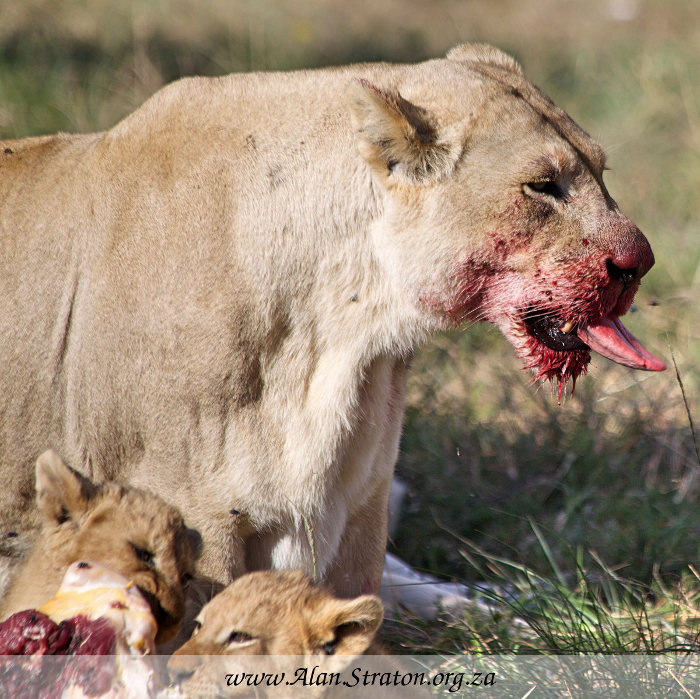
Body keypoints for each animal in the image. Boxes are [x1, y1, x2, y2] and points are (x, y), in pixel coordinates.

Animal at [0, 44, 664, 600]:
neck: (344, 337)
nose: (640, 263)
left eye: (601, 171)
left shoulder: (361, 508)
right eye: (543, 186)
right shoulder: (189, 513)